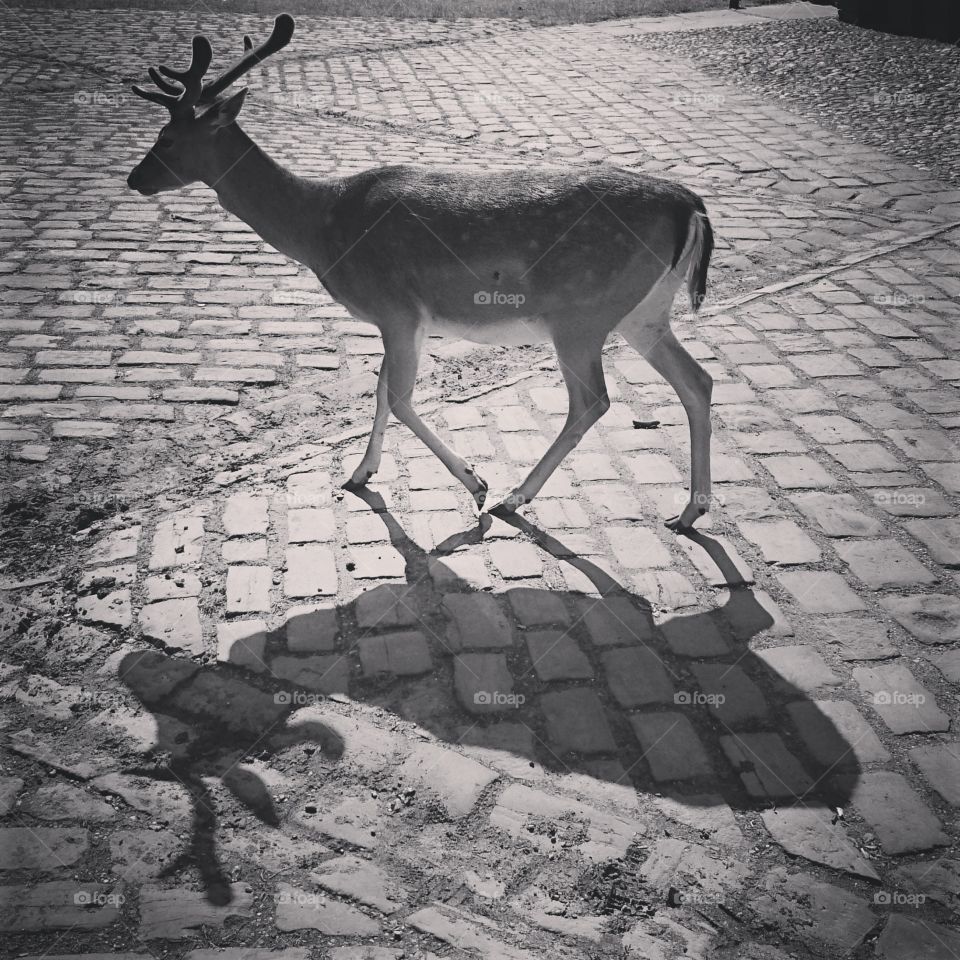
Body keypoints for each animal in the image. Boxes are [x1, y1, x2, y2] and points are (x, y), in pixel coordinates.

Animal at [127, 14, 715, 532]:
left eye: (168, 139)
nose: (135, 179)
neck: (324, 227)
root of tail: (690, 204)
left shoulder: (396, 308)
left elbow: (398, 396)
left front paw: (474, 483)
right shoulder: (399, 320)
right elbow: (381, 388)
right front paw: (360, 473)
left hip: (580, 314)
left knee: (592, 400)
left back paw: (513, 496)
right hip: (644, 312)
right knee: (698, 380)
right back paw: (690, 511)